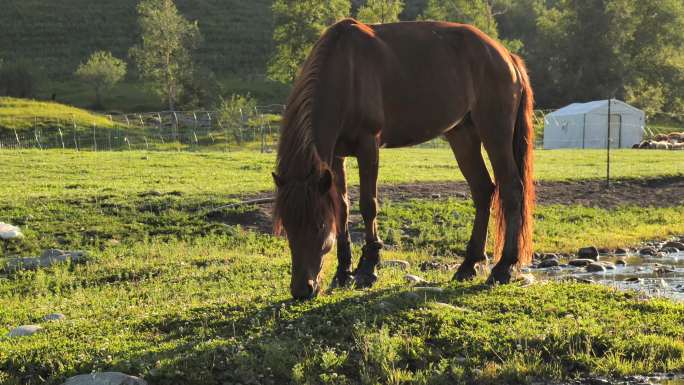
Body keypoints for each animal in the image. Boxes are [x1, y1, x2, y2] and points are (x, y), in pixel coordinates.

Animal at [272, 18, 536, 300]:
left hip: (495, 132)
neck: (345, 71)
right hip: (462, 135)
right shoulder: (335, 156)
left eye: (319, 226)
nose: (302, 289)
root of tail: (506, 56)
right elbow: (342, 208)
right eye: (288, 227)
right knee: (483, 190)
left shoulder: (368, 145)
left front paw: (368, 269)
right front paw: (343, 274)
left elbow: (368, 205)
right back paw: (469, 265)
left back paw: (504, 267)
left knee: (511, 189)